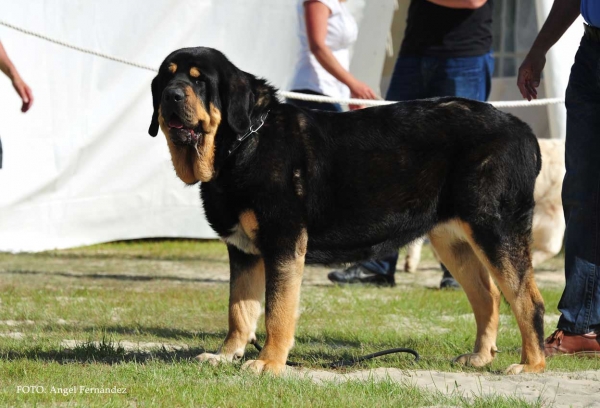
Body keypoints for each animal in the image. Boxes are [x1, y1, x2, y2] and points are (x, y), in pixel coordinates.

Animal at [148, 46, 548, 374]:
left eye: (199, 81)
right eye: (168, 76)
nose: (171, 95)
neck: (243, 143)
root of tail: (523, 129)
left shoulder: (283, 242)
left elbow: (277, 311)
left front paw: (268, 362)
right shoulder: (244, 250)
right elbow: (239, 310)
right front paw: (227, 354)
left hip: (496, 230)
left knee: (527, 300)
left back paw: (531, 364)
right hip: (453, 240)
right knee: (488, 297)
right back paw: (480, 357)